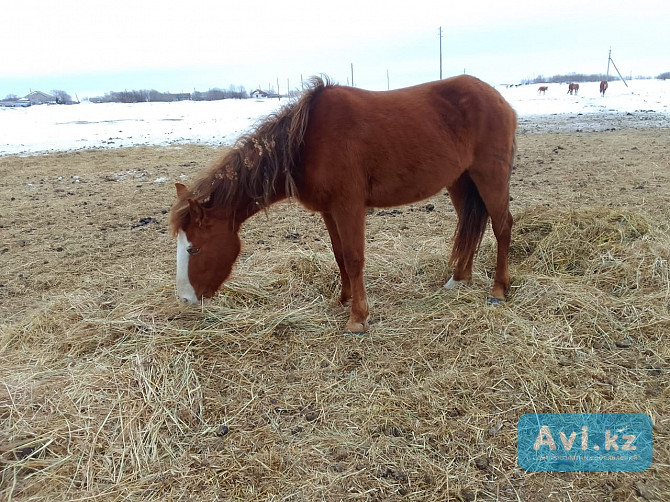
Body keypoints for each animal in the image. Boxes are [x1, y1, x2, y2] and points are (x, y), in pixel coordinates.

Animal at [171, 74, 516, 334]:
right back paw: (458, 280)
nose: (185, 300)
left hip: (490, 176)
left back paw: (498, 290)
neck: (306, 142)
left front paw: (358, 318)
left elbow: (353, 258)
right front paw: (344, 299)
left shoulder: (348, 206)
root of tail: (498, 99)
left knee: (502, 226)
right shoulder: (329, 210)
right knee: (470, 226)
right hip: (460, 181)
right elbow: (339, 256)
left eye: (195, 249)